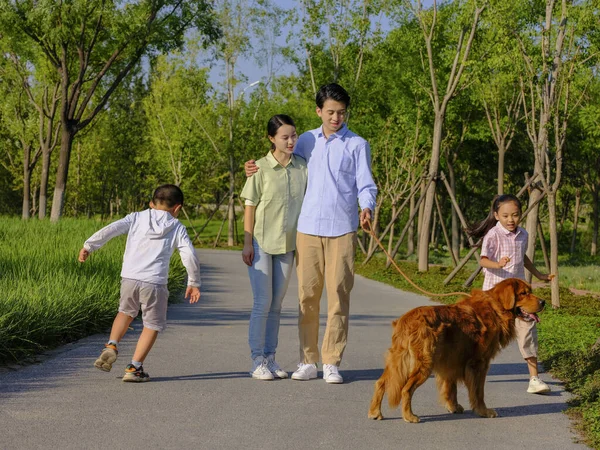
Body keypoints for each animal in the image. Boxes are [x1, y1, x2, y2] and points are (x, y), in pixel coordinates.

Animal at [368, 278, 548, 422]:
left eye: (530, 292)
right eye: (524, 293)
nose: (543, 302)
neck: (496, 308)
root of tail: (406, 320)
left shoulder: (451, 360)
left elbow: (451, 387)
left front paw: (453, 407)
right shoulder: (479, 363)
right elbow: (478, 392)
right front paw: (483, 411)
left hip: (398, 361)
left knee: (381, 382)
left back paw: (375, 412)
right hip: (424, 364)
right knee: (406, 389)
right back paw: (409, 416)